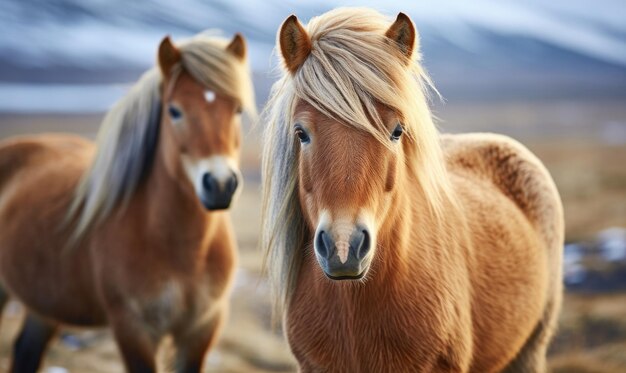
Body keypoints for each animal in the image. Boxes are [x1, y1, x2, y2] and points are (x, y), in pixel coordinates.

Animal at [0, 32, 256, 372]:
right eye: (174, 111)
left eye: (237, 109)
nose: (220, 184)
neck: (183, 252)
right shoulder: (133, 328)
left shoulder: (202, 328)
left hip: (44, 306)